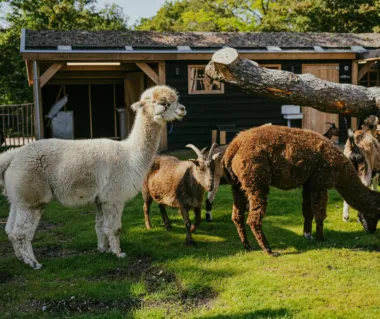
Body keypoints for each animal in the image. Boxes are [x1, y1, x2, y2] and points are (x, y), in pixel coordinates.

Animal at [0, 85, 187, 270]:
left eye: (176, 100)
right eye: (163, 103)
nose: (183, 109)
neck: (130, 156)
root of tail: (13, 156)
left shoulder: (101, 198)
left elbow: (100, 226)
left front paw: (104, 250)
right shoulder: (113, 197)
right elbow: (115, 228)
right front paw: (119, 253)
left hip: (18, 198)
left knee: (10, 230)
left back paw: (22, 259)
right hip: (31, 197)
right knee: (21, 233)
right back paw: (34, 263)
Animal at [223, 125, 380, 255]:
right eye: (375, 215)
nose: (372, 231)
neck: (341, 172)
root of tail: (234, 147)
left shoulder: (308, 184)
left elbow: (307, 212)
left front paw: (307, 235)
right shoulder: (320, 183)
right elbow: (320, 214)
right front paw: (321, 238)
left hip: (238, 184)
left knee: (237, 216)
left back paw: (248, 246)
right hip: (256, 180)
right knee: (253, 219)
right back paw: (269, 250)